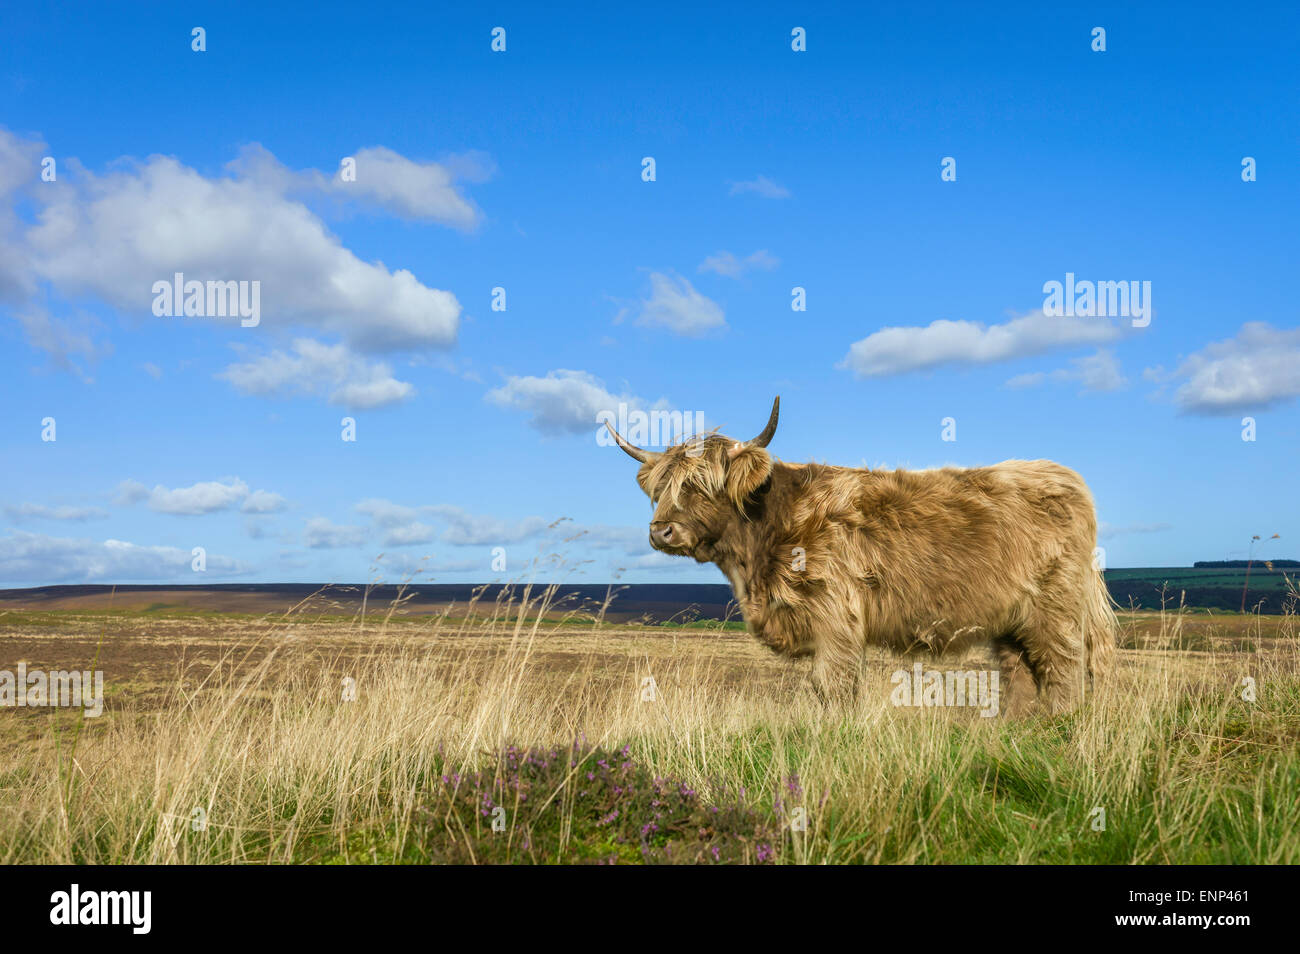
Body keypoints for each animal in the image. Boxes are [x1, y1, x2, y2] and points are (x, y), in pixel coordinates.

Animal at [605, 397, 1117, 715]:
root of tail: (1062, 475)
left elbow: (831, 686)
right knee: (1022, 675)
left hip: (1056, 611)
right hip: (1013, 621)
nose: (660, 531)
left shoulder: (836, 616)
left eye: (700, 485)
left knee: (1065, 669)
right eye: (658, 491)